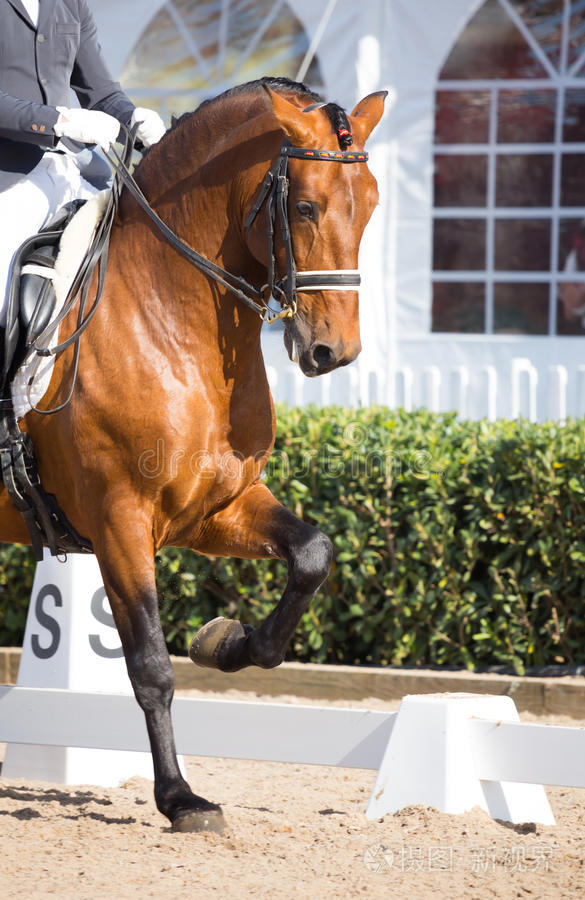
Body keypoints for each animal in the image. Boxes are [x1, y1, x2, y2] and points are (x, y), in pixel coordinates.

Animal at [0, 77, 386, 832]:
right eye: (304, 205)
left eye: (373, 202)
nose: (334, 352)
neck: (168, 318)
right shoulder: (120, 519)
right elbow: (150, 666)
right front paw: (180, 797)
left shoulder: (214, 507)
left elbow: (312, 554)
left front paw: (227, 641)